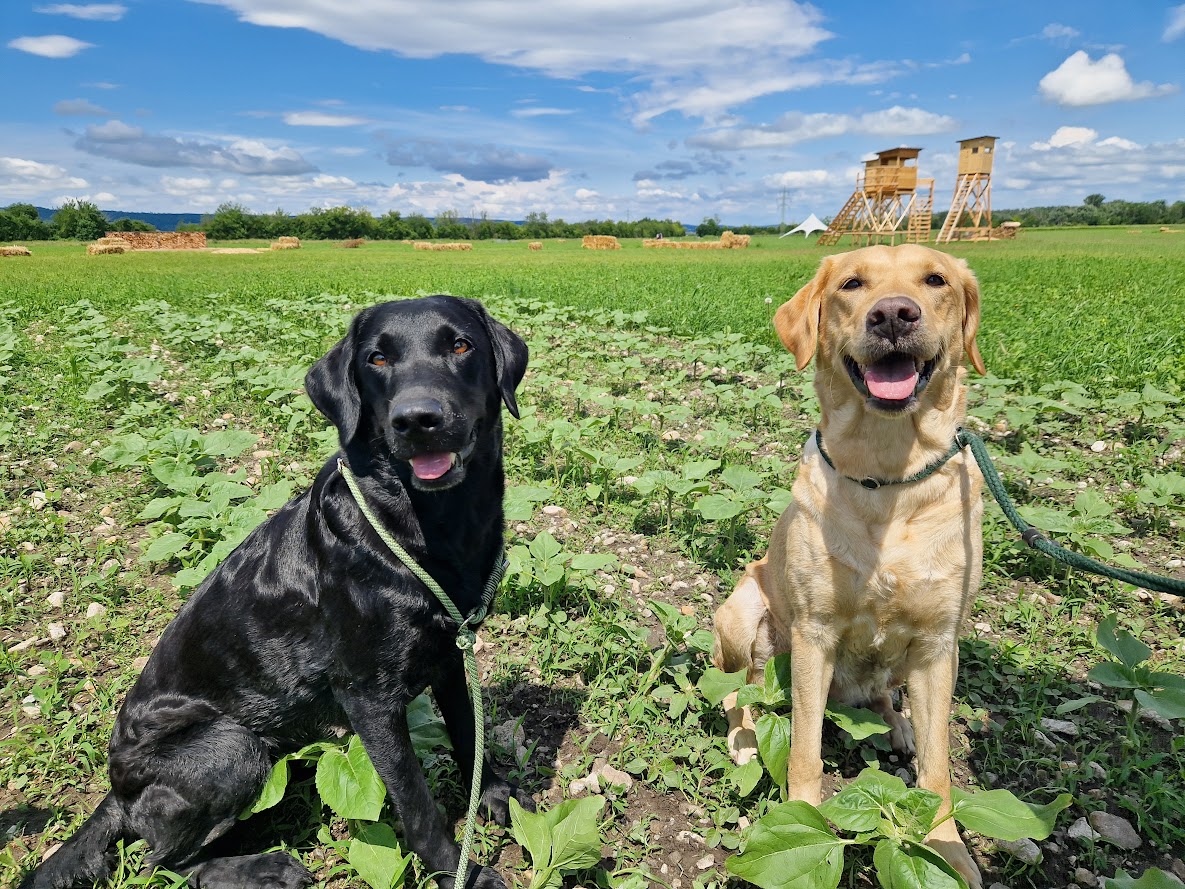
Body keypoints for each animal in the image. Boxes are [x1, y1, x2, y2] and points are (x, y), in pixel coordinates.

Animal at [20, 297, 530, 889]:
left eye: (461, 345)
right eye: (377, 359)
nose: (417, 419)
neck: (424, 526)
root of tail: (115, 794)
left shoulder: (452, 654)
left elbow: (470, 736)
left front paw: (497, 797)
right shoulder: (370, 698)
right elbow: (418, 805)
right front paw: (460, 872)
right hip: (231, 745)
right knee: (164, 862)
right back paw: (265, 867)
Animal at [715, 240, 985, 886]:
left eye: (935, 280)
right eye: (852, 285)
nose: (893, 315)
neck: (886, 475)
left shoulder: (938, 645)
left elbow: (939, 772)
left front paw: (947, 850)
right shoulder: (814, 635)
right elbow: (804, 751)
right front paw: (802, 824)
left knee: (886, 698)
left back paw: (899, 725)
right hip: (741, 615)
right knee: (741, 692)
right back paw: (745, 738)